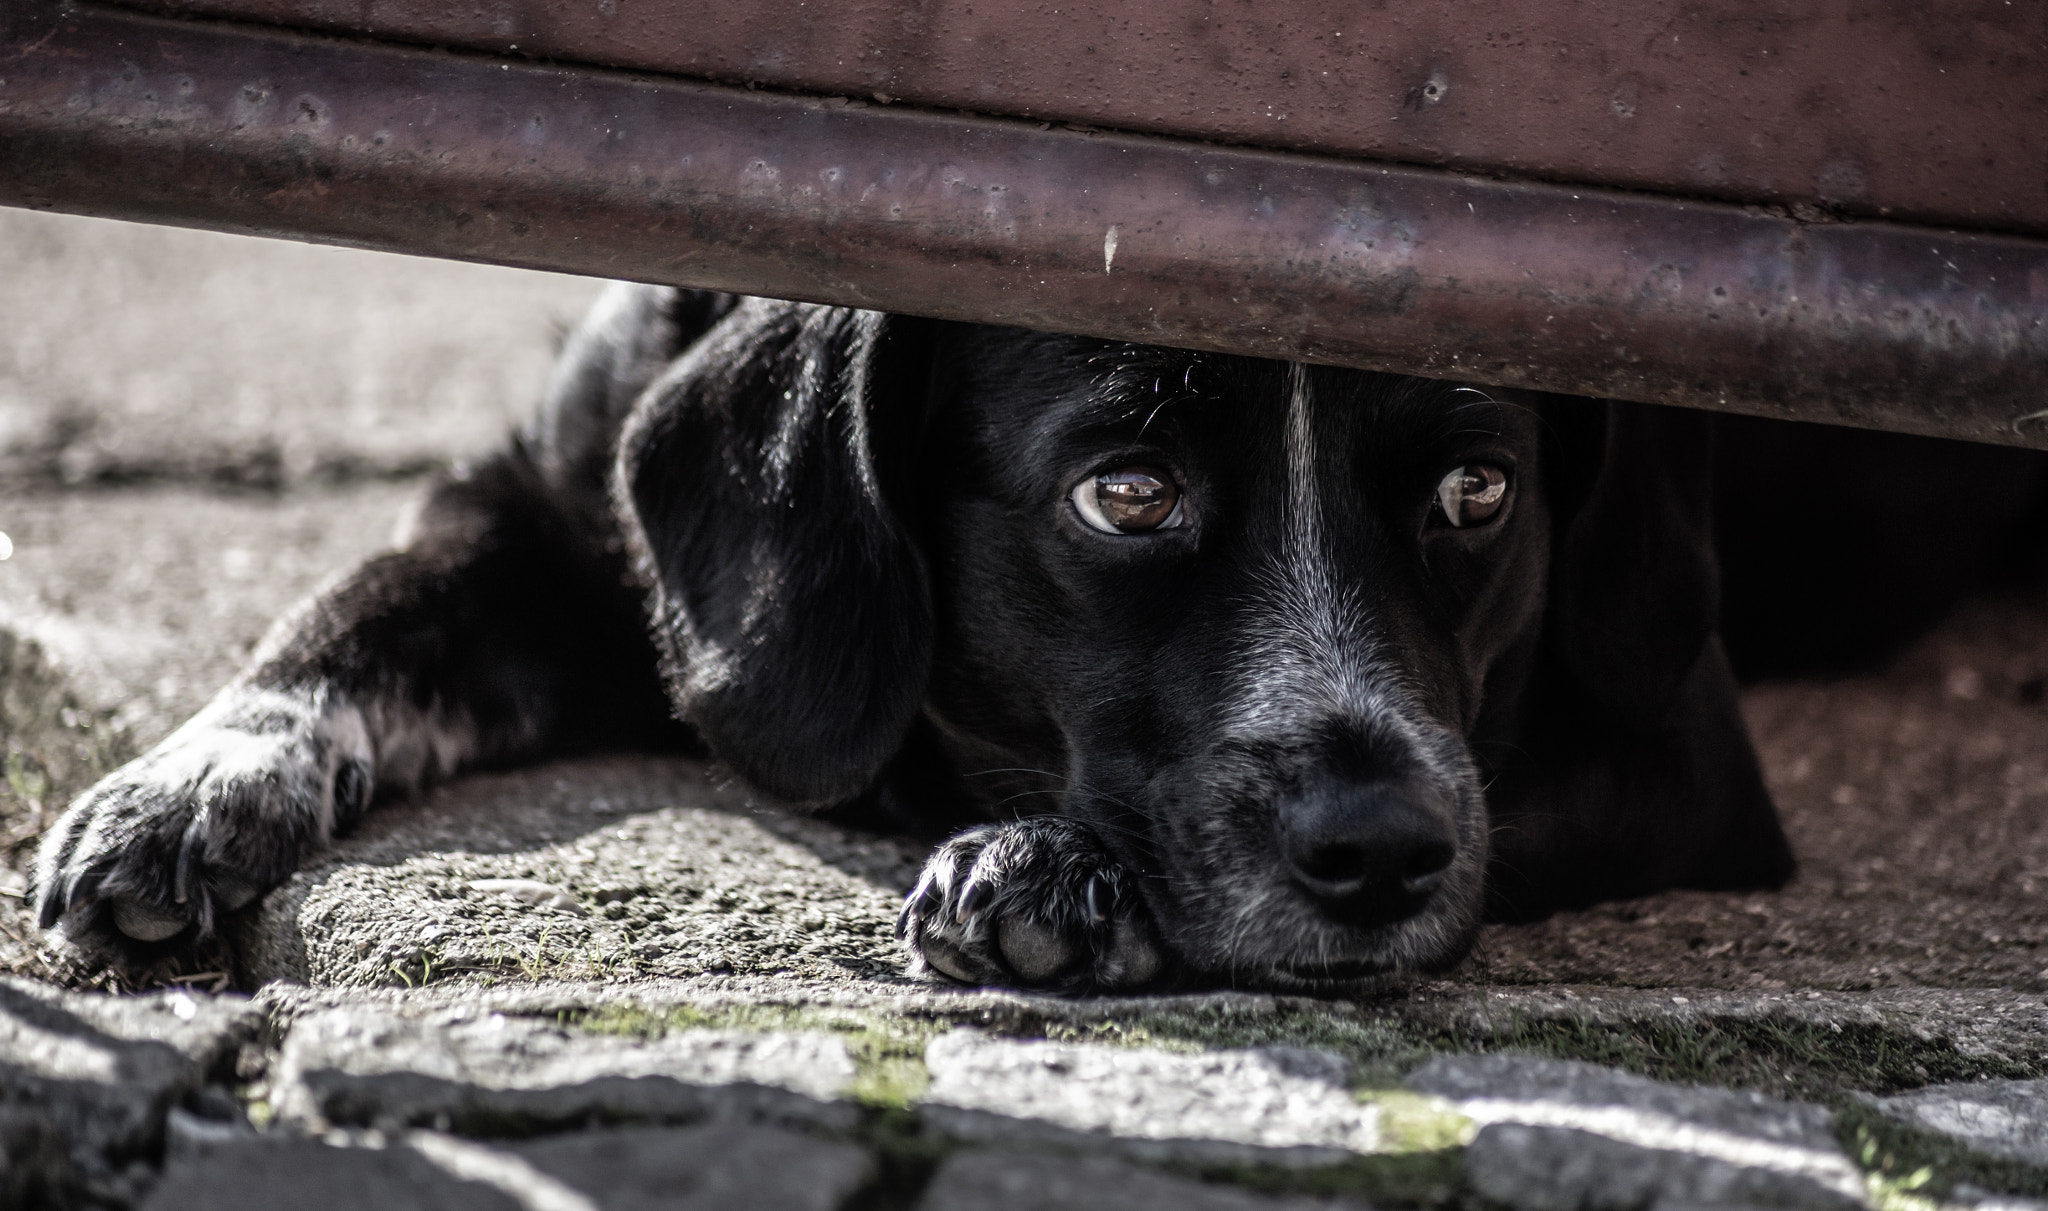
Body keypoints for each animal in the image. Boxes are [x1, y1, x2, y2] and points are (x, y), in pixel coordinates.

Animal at [32, 284, 2048, 995]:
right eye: (1125, 492)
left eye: (1480, 492)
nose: (1378, 852)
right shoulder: (531, 519)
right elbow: (347, 618)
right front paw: (179, 788)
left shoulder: (1668, 753)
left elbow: (1502, 805)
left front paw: (1061, 876)